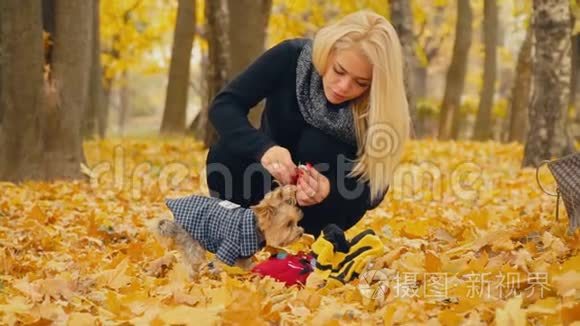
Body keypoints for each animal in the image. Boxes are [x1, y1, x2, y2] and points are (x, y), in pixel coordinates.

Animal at [156, 185, 306, 276]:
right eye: (288, 224)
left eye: (296, 221)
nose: (301, 233)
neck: (255, 226)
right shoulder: (228, 248)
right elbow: (221, 266)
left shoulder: (243, 254)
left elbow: (244, 266)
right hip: (192, 240)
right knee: (191, 261)